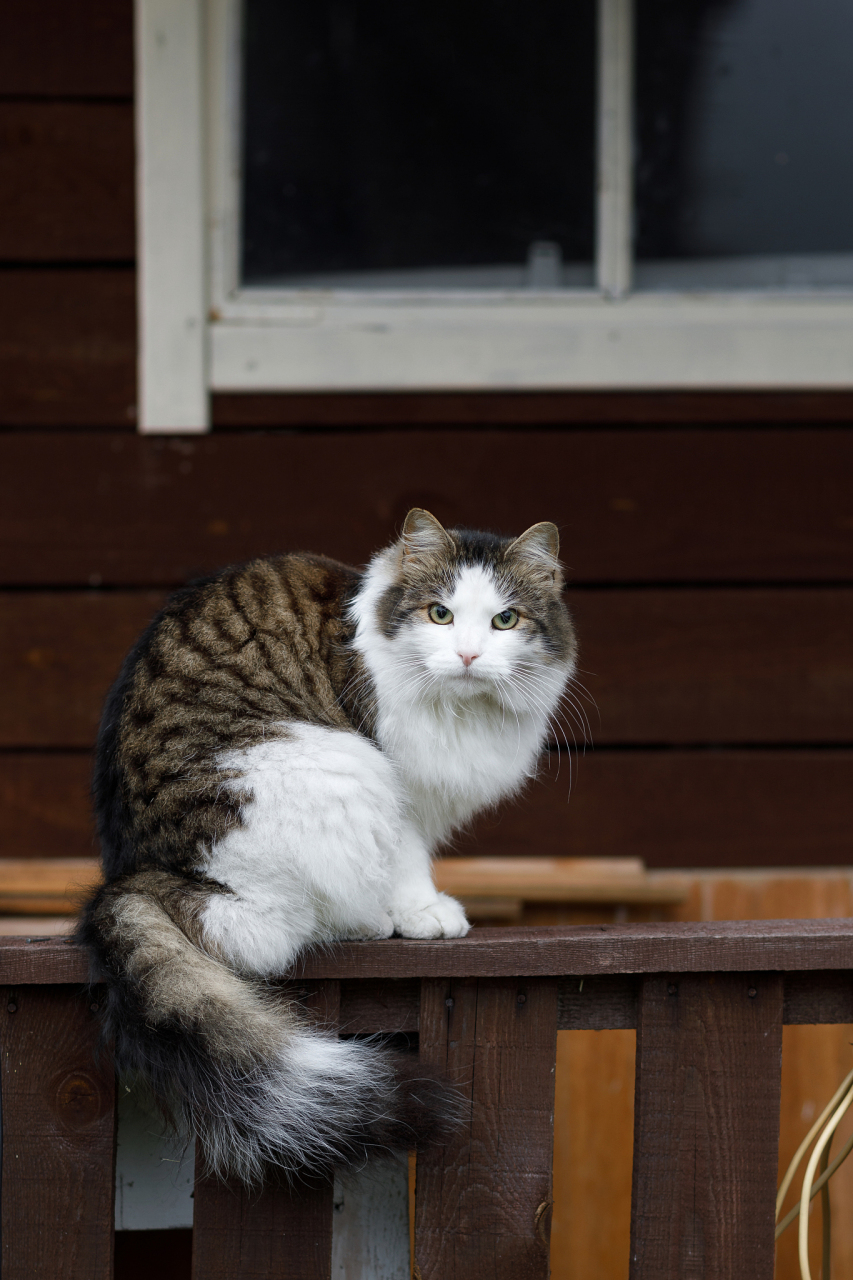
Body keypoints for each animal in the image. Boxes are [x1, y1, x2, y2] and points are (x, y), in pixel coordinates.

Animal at [76, 504, 573, 1182]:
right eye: (439, 614)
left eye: (506, 620)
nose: (469, 655)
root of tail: (132, 877)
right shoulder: (400, 787)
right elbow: (408, 859)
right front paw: (423, 914)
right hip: (334, 770)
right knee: (270, 932)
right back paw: (371, 920)